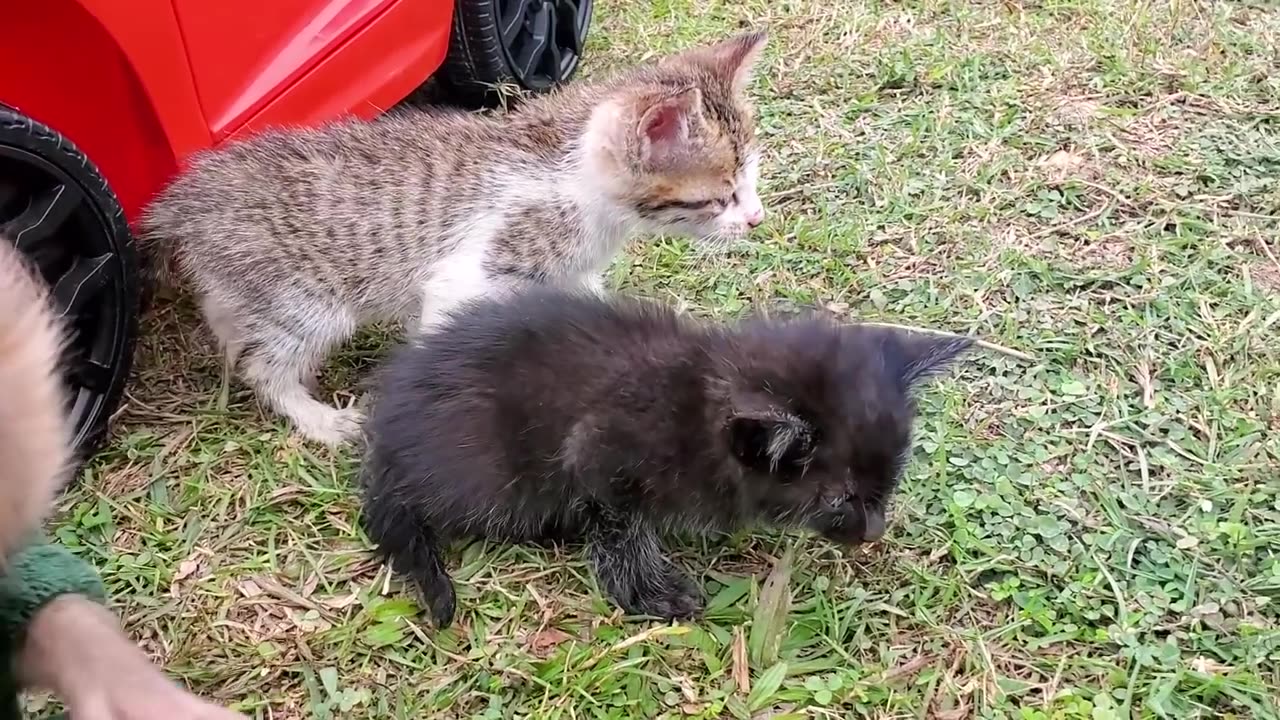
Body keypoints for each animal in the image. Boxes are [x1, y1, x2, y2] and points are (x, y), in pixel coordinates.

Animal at [144, 32, 768, 443]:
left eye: (752, 179)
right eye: (721, 197)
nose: (757, 219)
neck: (573, 176)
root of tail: (187, 199)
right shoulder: (475, 266)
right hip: (303, 298)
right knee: (266, 363)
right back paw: (314, 415)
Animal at [360, 285, 967, 622]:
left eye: (889, 483)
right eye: (839, 498)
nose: (875, 532)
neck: (697, 396)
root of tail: (383, 450)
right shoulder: (600, 448)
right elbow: (617, 523)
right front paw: (648, 588)